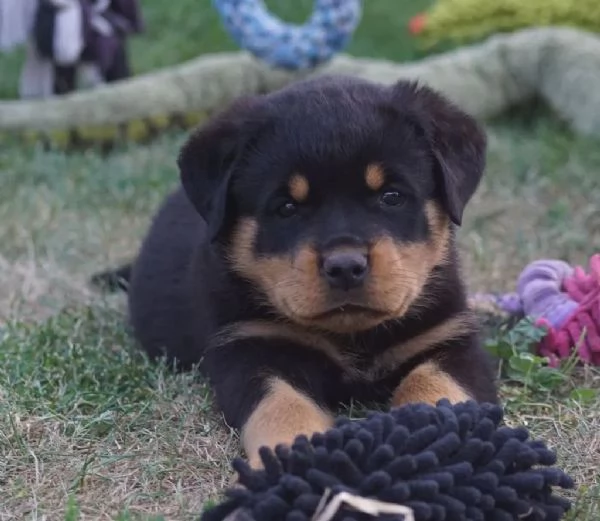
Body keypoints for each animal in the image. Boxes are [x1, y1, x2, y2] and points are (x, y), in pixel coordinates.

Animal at [101, 74, 496, 468]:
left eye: (392, 196)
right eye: (287, 207)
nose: (345, 266)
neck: (354, 337)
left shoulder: (449, 338)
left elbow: (433, 386)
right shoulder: (249, 346)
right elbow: (281, 404)